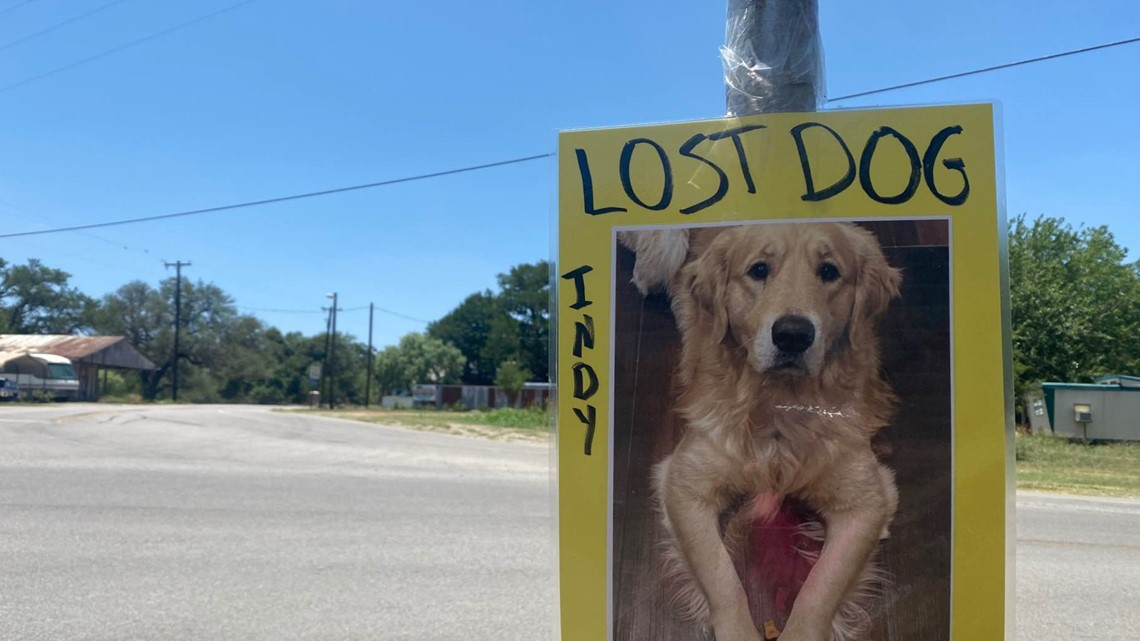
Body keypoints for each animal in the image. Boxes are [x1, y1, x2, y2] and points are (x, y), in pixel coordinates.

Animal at [647, 221, 902, 638]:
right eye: (759, 270)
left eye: (829, 271)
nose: (793, 335)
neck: (782, 405)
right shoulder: (683, 484)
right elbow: (723, 579)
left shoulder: (869, 500)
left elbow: (819, 589)